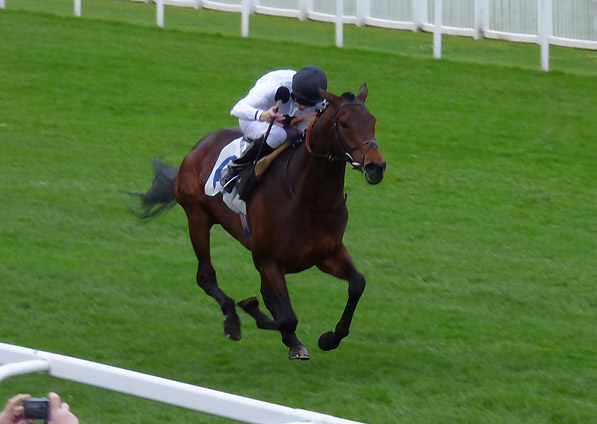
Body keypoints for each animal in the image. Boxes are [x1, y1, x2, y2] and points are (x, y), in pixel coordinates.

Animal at [129, 84, 386, 360]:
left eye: (372, 120)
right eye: (345, 123)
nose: (376, 167)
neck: (307, 198)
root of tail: (198, 146)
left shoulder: (327, 253)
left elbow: (357, 284)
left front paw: (329, 338)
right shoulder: (267, 260)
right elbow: (287, 318)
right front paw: (255, 312)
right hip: (197, 218)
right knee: (205, 277)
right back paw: (232, 321)